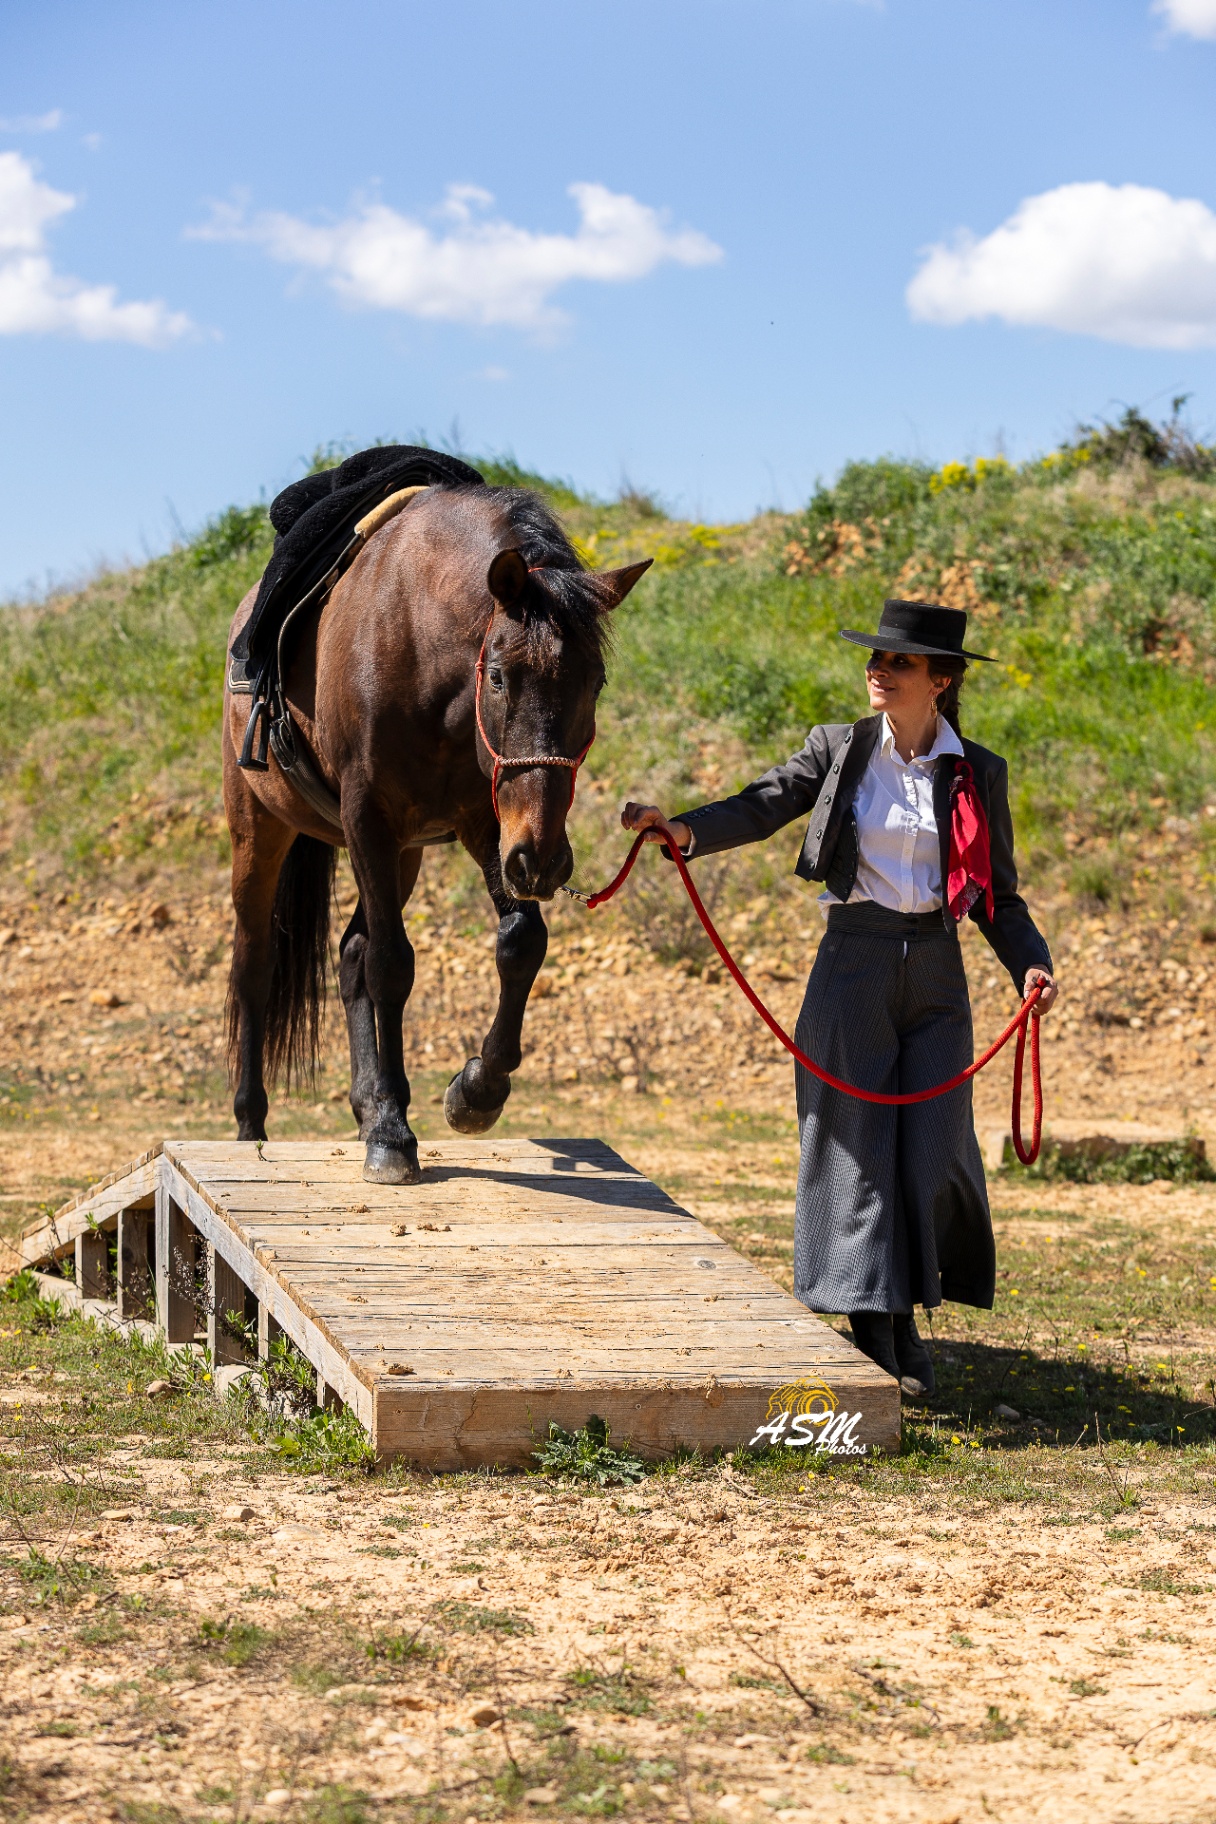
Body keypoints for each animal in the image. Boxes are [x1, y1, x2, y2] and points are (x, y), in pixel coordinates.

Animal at [222, 482, 649, 1185]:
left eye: (597, 681)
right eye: (499, 675)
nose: (545, 861)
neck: (421, 643)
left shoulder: (488, 826)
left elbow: (520, 942)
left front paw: (476, 1090)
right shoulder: (369, 817)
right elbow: (393, 965)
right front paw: (394, 1135)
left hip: (405, 857)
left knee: (350, 953)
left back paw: (368, 1101)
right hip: (261, 830)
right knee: (256, 967)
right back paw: (251, 1124)